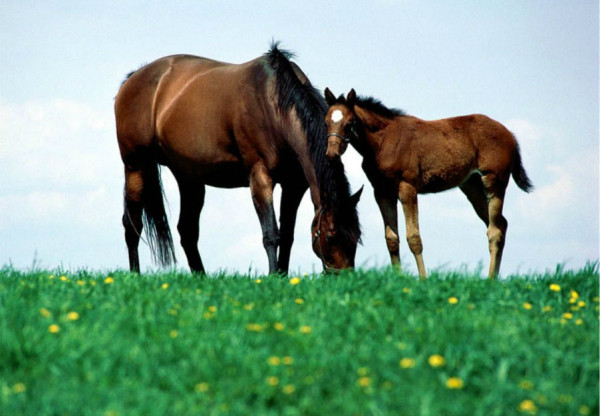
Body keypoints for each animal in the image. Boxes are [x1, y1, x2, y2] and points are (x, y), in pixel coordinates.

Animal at [113, 44, 360, 276]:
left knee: (187, 230)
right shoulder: (260, 178)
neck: (274, 105)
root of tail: (132, 79)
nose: (345, 277)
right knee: (132, 224)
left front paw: (282, 276)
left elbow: (287, 235)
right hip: (136, 166)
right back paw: (135, 275)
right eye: (331, 236)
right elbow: (271, 233)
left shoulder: (294, 185)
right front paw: (273, 276)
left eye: (357, 235)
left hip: (189, 178)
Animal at [326, 89, 532, 282]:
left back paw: (490, 280)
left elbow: (414, 237)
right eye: (327, 121)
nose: (331, 153)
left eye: (349, 123)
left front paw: (423, 279)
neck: (383, 141)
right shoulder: (382, 192)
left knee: (495, 230)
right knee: (501, 224)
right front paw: (398, 279)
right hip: (471, 186)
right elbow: (391, 239)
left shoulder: (407, 187)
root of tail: (511, 135)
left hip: (494, 182)